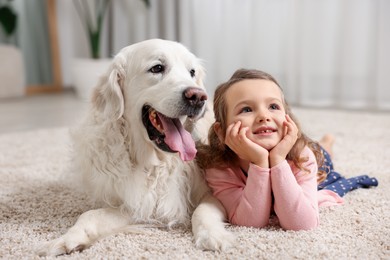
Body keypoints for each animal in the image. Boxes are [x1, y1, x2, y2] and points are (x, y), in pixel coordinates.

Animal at [38, 39, 235, 256]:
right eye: (157, 68)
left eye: (191, 72)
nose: (199, 97)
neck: (155, 163)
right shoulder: (137, 203)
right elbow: (89, 215)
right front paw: (66, 239)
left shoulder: (212, 192)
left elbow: (202, 210)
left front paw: (213, 235)